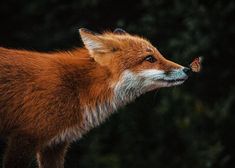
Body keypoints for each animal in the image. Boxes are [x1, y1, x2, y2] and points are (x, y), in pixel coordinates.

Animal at [0, 28, 191, 167]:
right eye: (150, 58)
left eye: (158, 54)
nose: (187, 69)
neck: (76, 88)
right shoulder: (24, 138)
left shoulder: (55, 145)